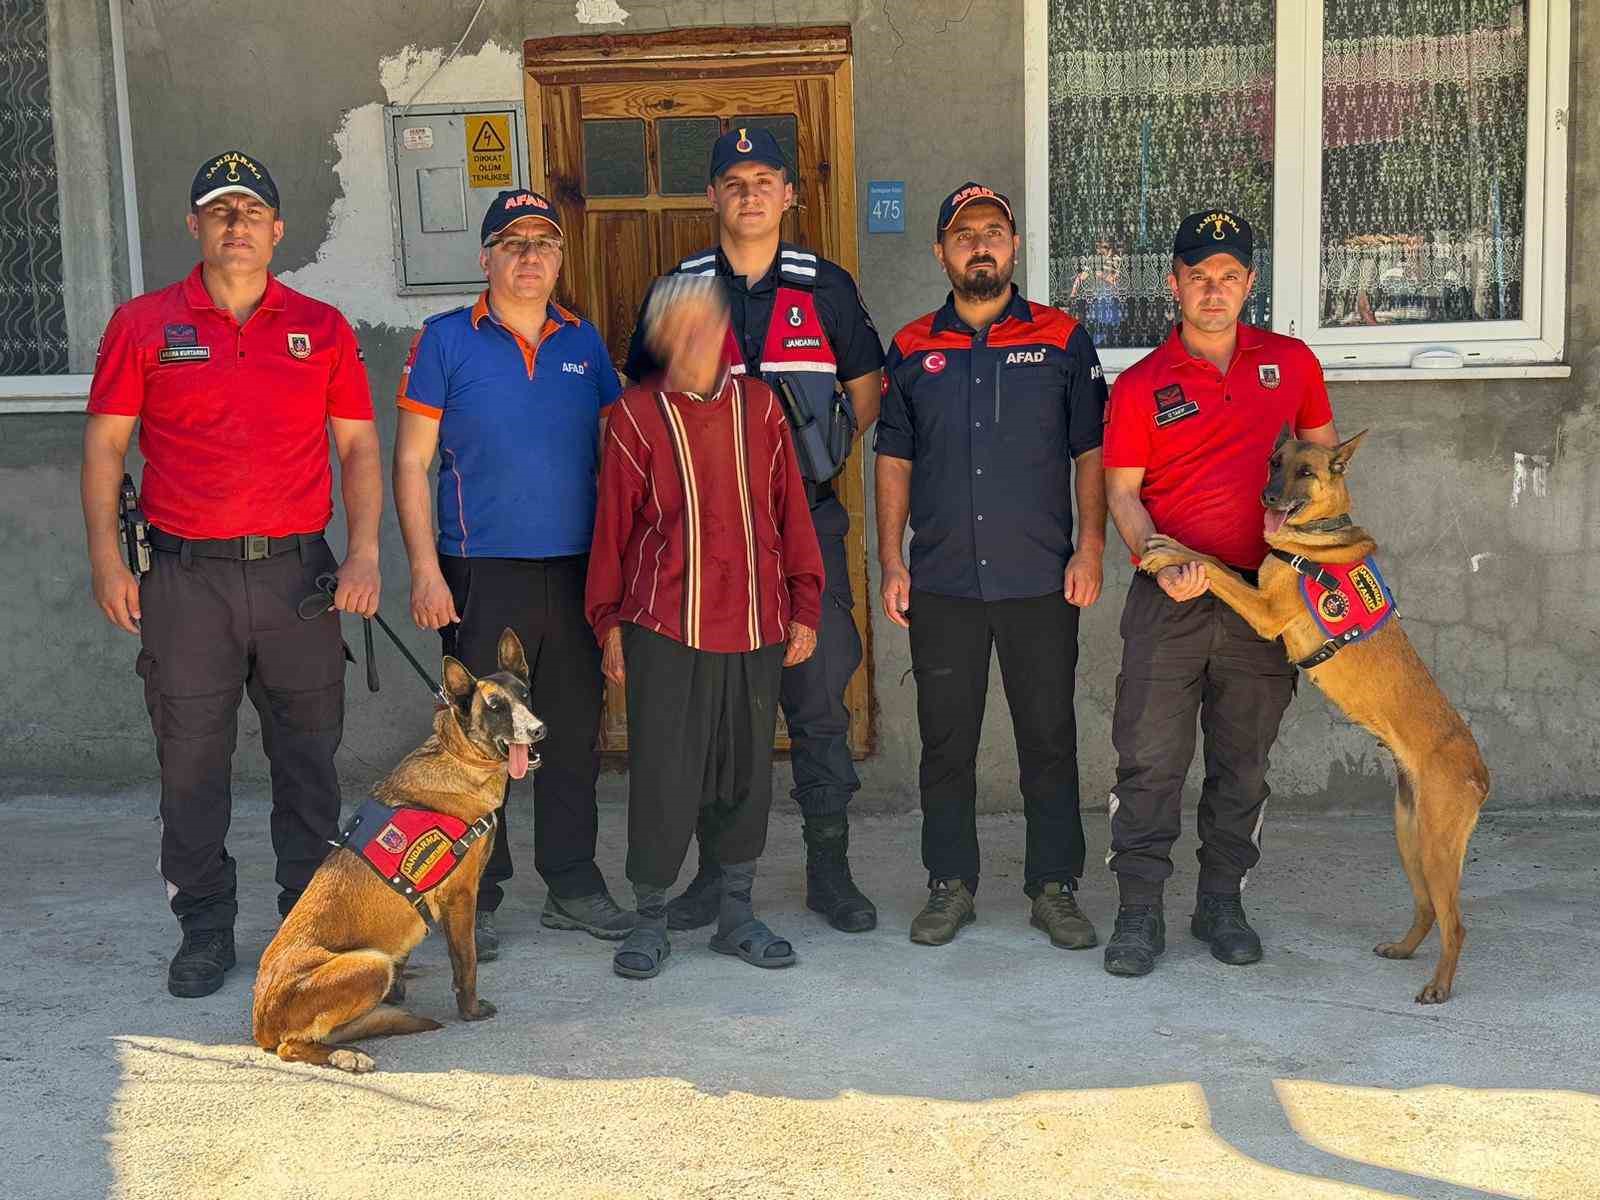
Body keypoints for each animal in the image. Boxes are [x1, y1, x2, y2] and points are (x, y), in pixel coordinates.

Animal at [251, 630, 544, 1068]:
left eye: (525, 695)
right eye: (496, 708)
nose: (539, 730)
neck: (459, 757)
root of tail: (260, 1023)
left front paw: (403, 993)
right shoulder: (462, 896)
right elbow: (467, 962)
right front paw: (471, 1011)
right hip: (370, 963)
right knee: (291, 1046)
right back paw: (346, 1056)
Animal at [1139, 432, 1484, 1004]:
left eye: (1305, 472)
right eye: (1274, 463)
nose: (1267, 497)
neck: (1317, 536)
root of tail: (1481, 770)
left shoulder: (1263, 610)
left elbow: (1215, 571)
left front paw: (1168, 554)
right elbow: (1208, 557)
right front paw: (1170, 546)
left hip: (1436, 846)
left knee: (1455, 923)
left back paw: (1438, 987)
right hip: (1410, 836)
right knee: (1427, 909)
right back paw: (1402, 949)